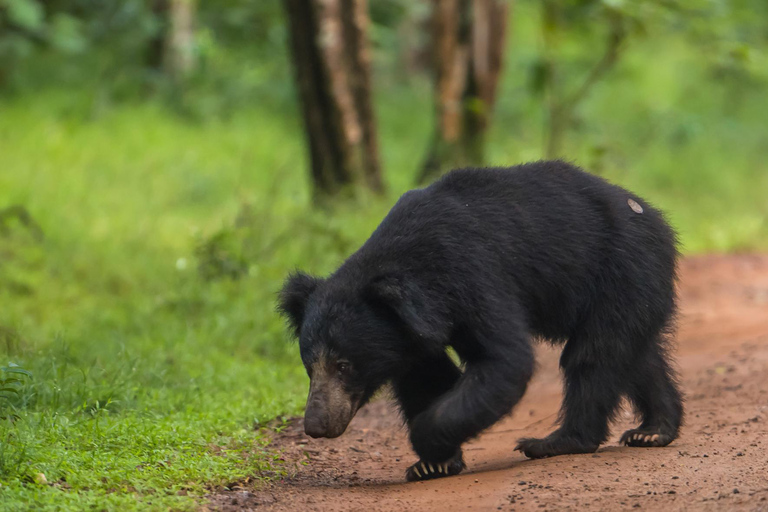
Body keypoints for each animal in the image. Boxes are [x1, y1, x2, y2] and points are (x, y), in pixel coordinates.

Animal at [278, 162, 684, 482]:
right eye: (309, 367)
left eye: (344, 365)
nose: (316, 425)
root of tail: (654, 216)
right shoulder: (408, 333)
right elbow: (426, 375)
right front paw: (433, 464)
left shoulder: (473, 274)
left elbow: (504, 360)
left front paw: (427, 443)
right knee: (634, 354)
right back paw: (653, 430)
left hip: (621, 268)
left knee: (593, 354)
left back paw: (556, 442)